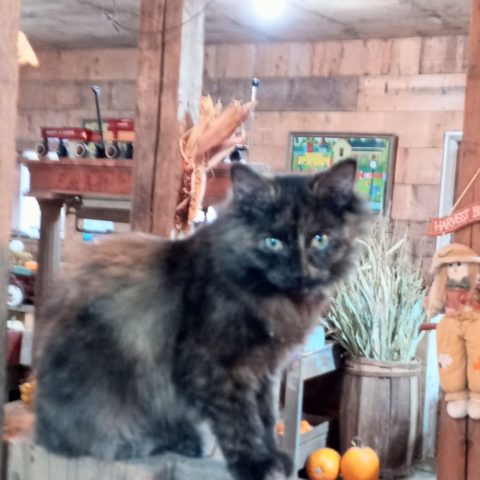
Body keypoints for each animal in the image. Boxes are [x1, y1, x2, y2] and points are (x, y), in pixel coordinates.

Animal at [35, 160, 366, 480]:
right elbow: (241, 423)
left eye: (320, 239)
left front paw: (273, 456)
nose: (300, 271)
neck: (276, 301)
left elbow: (266, 419)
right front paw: (255, 464)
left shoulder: (265, 371)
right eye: (273, 242)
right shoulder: (215, 366)